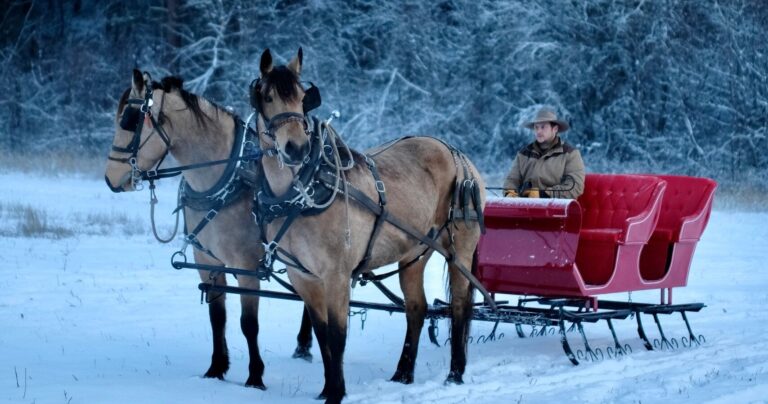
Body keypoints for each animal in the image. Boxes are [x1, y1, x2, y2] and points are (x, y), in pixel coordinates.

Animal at [104, 70, 314, 389]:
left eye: (128, 119)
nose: (110, 178)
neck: (224, 181)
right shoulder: (207, 262)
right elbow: (218, 318)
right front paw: (216, 368)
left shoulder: (246, 267)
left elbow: (248, 324)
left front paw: (255, 376)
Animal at [251, 48, 487, 403]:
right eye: (266, 97)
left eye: (303, 99)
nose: (296, 148)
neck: (302, 192)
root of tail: (456, 153)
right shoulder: (303, 275)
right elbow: (322, 333)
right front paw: (326, 388)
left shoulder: (336, 275)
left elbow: (337, 336)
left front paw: (337, 392)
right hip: (414, 253)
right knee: (416, 308)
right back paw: (403, 373)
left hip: (460, 250)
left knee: (459, 306)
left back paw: (455, 374)